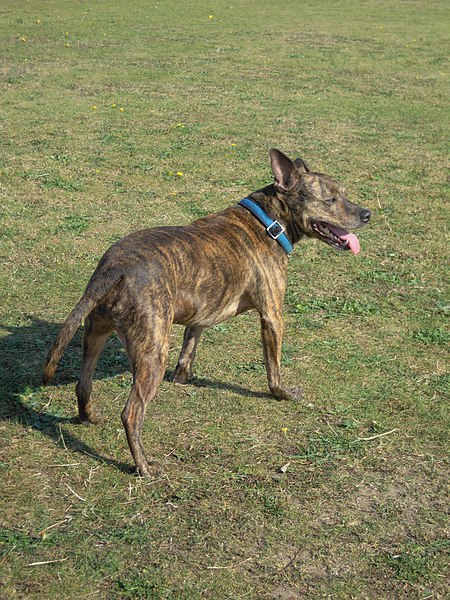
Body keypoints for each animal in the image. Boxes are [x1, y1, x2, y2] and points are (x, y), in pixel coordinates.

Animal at [44, 149, 370, 478]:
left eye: (344, 194)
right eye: (330, 199)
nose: (367, 214)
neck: (268, 222)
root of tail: (113, 269)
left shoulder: (200, 315)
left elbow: (188, 351)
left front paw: (184, 379)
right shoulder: (272, 316)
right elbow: (273, 367)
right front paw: (283, 393)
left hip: (94, 335)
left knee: (83, 384)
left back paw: (89, 417)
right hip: (152, 352)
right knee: (131, 412)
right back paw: (144, 466)